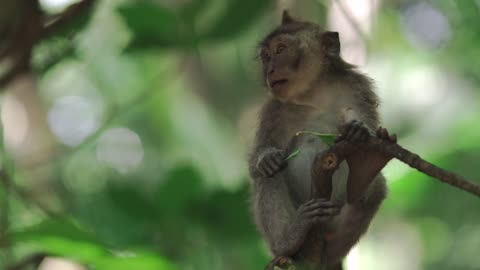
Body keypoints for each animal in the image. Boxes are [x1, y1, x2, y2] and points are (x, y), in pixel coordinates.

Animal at [249, 11, 396, 270]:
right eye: (266, 57)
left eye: (280, 50)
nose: (270, 71)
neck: (315, 93)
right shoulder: (273, 110)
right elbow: (257, 162)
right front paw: (265, 158)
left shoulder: (358, 88)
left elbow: (368, 128)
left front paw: (359, 130)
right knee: (267, 176)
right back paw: (290, 239)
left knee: (375, 188)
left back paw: (365, 170)